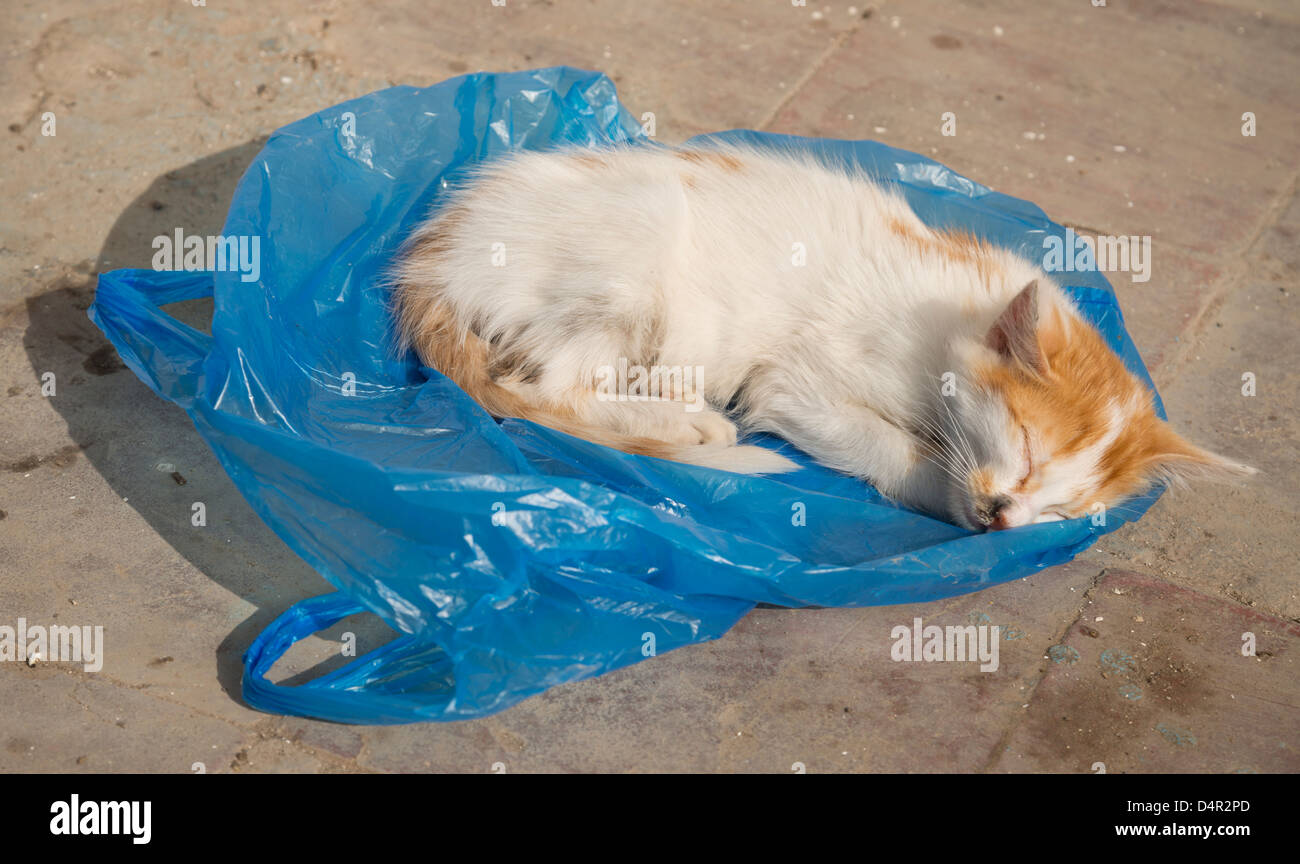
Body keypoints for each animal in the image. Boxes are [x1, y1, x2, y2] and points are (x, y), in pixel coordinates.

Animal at [384, 144, 1248, 530]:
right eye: (1029, 449)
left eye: (1070, 508)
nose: (1004, 516)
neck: (943, 327)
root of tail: (436, 252)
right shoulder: (794, 383)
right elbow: (886, 447)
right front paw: (940, 488)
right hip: (636, 234)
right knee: (546, 389)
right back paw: (687, 425)